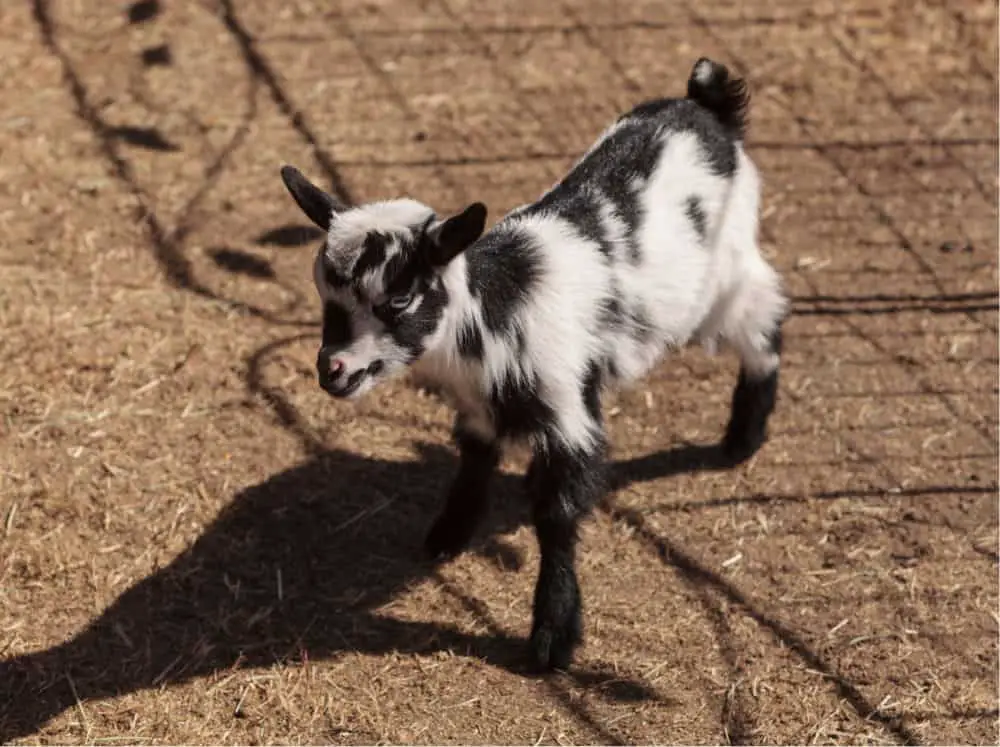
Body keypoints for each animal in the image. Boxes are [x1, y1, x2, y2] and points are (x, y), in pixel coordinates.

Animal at [278, 55, 784, 668]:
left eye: (398, 299)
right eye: (324, 293)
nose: (333, 368)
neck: (496, 312)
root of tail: (705, 104)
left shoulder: (569, 415)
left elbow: (557, 517)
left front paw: (552, 637)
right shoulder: (479, 407)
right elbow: (474, 461)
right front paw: (449, 534)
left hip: (727, 277)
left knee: (764, 323)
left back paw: (743, 437)